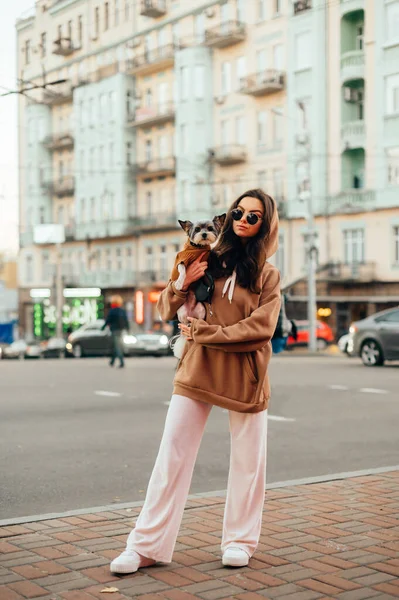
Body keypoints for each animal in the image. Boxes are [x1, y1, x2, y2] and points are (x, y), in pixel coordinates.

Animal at [172, 214, 227, 358]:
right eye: (197, 229)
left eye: (210, 228)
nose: (204, 234)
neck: (198, 248)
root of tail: (191, 313)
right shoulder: (182, 259)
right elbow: (182, 269)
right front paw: (179, 282)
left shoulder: (207, 262)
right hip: (181, 313)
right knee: (184, 323)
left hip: (201, 311)